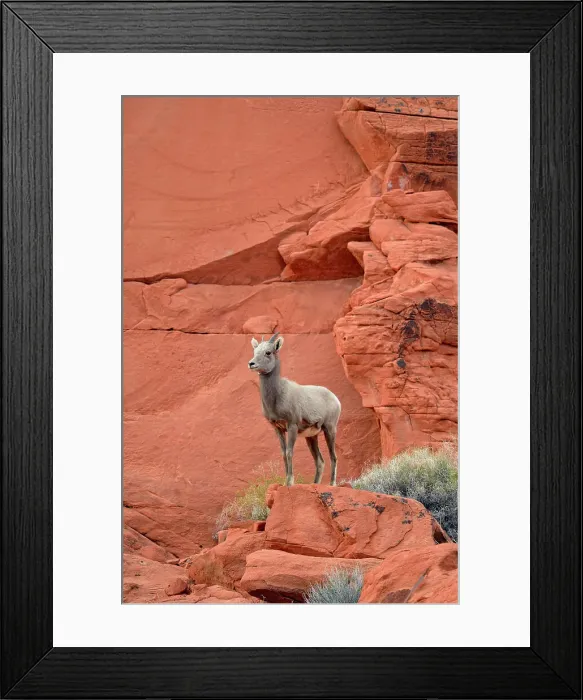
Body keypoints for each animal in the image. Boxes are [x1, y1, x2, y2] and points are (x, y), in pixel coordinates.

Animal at [248, 332, 341, 486]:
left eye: (268, 352)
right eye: (255, 351)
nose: (251, 364)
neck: (277, 396)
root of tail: (336, 399)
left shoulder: (292, 426)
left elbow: (289, 452)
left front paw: (290, 482)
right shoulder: (278, 429)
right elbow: (283, 453)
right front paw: (286, 481)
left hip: (330, 429)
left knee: (333, 456)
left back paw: (332, 484)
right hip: (311, 437)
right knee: (320, 461)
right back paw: (315, 484)